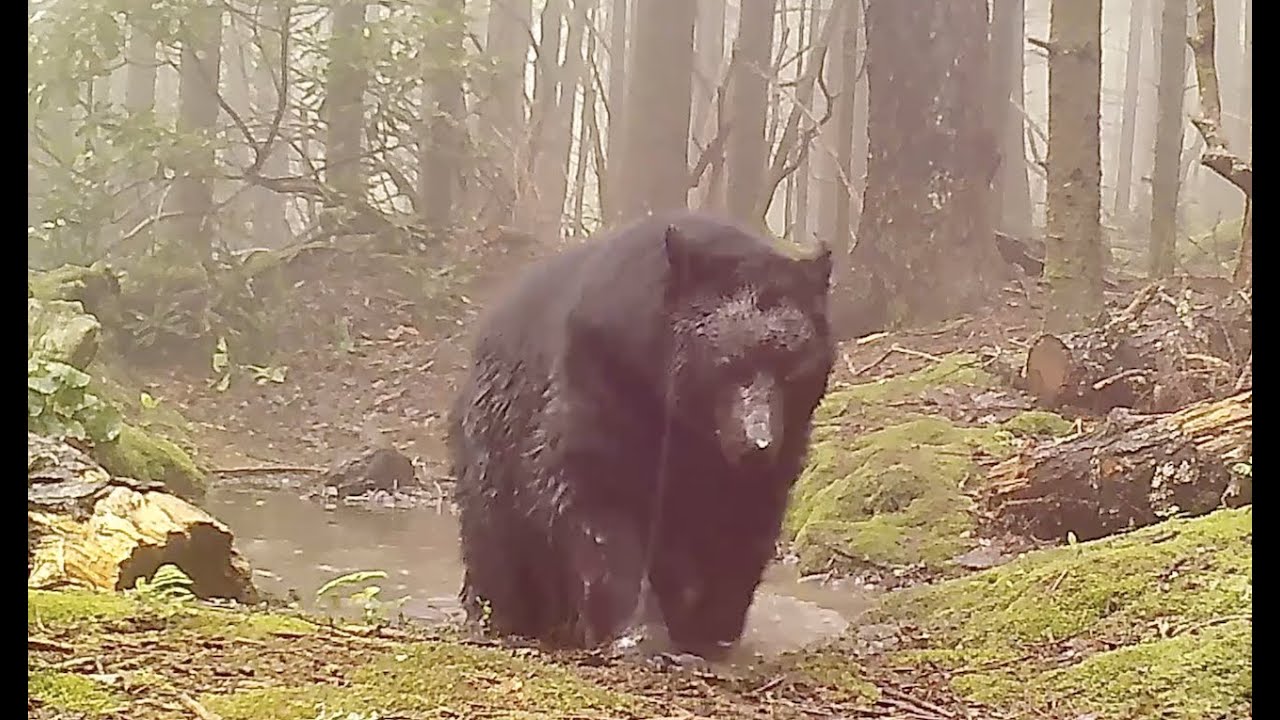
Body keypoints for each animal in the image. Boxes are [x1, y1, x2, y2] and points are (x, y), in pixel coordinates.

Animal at [448, 209, 835, 658]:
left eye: (791, 368)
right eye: (729, 364)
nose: (756, 444)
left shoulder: (759, 456)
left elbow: (741, 528)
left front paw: (712, 628)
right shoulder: (600, 387)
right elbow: (595, 506)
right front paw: (636, 631)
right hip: (491, 453)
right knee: (496, 548)